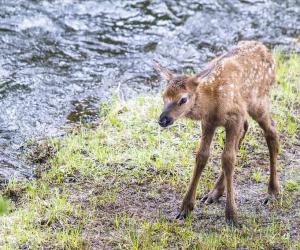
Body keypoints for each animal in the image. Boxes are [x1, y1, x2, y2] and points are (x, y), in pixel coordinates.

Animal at [154, 40, 280, 225]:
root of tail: (267, 51)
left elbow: (228, 159)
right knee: (247, 128)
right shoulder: (209, 123)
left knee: (271, 132)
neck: (212, 103)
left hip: (258, 101)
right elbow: (202, 156)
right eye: (163, 96)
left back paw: (272, 191)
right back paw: (214, 192)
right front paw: (185, 208)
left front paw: (232, 215)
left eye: (183, 99)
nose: (163, 119)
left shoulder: (234, 117)